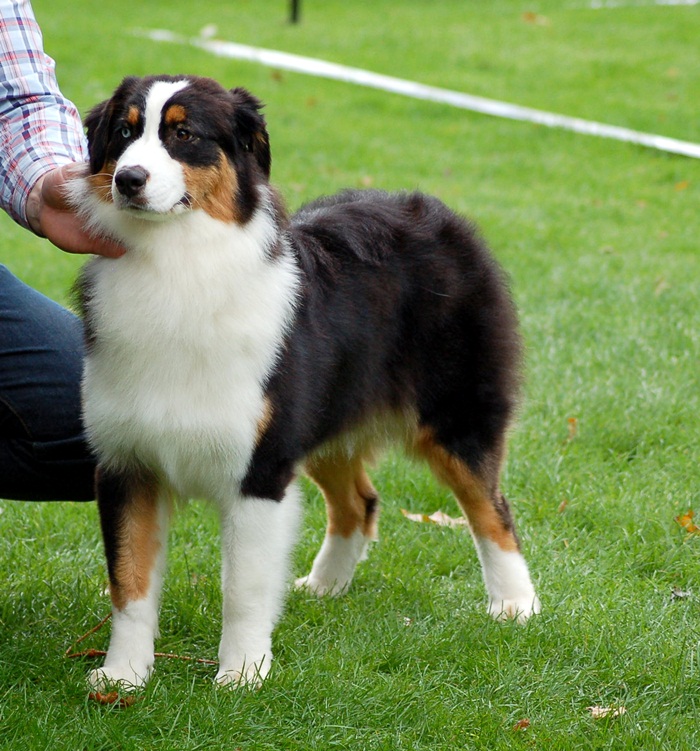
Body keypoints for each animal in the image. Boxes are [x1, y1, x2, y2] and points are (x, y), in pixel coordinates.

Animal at [70, 74, 539, 690]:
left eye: (184, 134)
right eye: (124, 133)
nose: (128, 180)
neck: (175, 261)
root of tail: (439, 213)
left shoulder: (261, 467)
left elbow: (243, 587)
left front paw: (243, 673)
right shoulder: (127, 462)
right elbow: (130, 582)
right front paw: (123, 676)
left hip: (456, 416)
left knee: (492, 510)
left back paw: (515, 604)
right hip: (325, 417)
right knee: (360, 502)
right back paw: (325, 586)